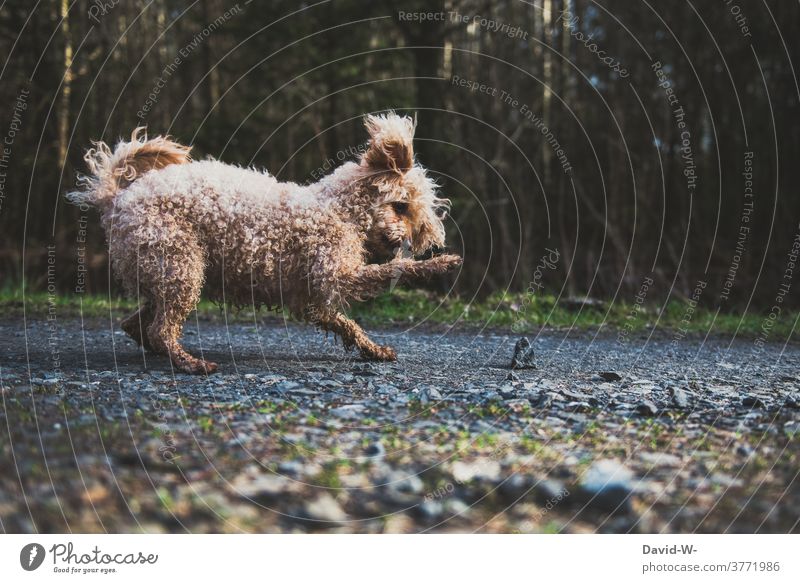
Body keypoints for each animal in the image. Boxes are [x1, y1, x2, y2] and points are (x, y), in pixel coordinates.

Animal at [70, 113, 462, 374]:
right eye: (402, 206)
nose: (408, 240)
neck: (338, 209)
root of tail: (117, 199)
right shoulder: (337, 275)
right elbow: (395, 270)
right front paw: (437, 264)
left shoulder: (313, 300)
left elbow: (347, 325)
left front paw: (374, 350)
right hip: (180, 265)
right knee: (160, 329)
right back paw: (189, 362)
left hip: (165, 270)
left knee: (136, 323)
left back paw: (159, 350)